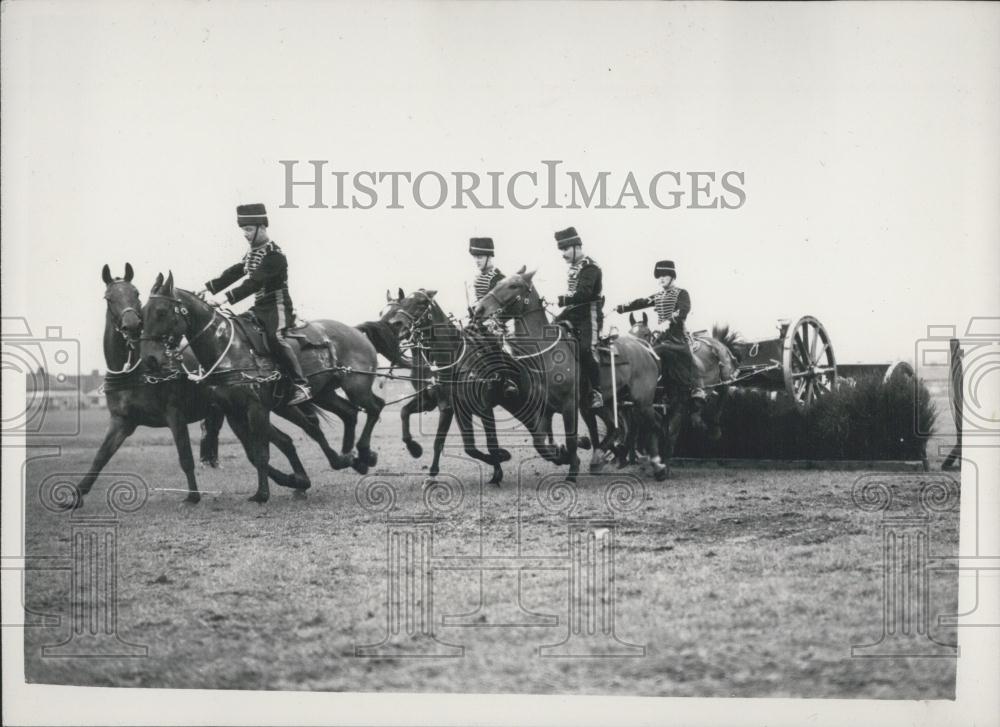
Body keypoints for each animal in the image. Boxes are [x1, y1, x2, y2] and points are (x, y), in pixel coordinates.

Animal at [143, 270, 384, 504]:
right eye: (144, 312)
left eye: (161, 312)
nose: (150, 359)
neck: (228, 349)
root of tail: (355, 331)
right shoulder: (234, 414)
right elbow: (255, 453)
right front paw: (294, 481)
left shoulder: (256, 409)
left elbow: (262, 453)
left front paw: (263, 493)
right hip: (322, 395)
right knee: (347, 414)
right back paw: (350, 457)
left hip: (356, 387)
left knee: (375, 407)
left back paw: (363, 453)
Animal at [384, 288, 516, 484]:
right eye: (404, 302)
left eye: (422, 303)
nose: (395, 325)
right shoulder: (436, 403)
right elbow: (405, 412)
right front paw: (415, 450)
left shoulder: (470, 407)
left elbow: (486, 444)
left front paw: (500, 463)